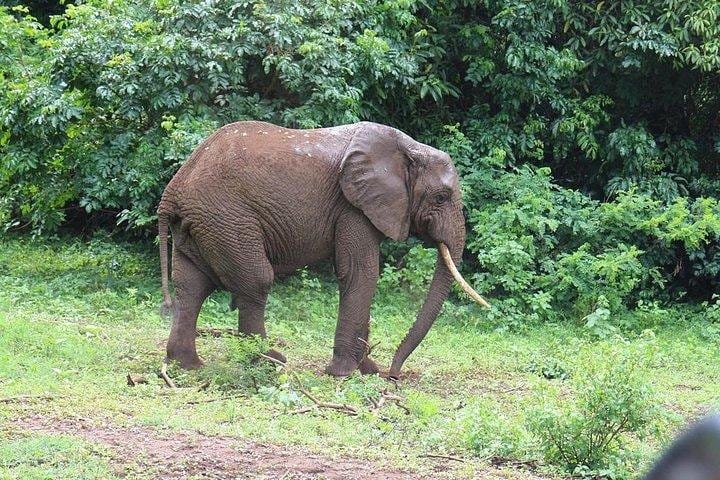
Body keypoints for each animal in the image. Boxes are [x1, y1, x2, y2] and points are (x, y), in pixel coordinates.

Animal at [157, 120, 489, 379]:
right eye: (441, 197)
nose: (393, 374)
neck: (409, 147)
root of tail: (174, 189)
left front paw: (367, 370)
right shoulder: (353, 206)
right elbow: (361, 272)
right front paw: (343, 373)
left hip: (199, 225)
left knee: (191, 287)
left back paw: (188, 366)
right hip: (227, 218)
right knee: (255, 282)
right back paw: (269, 363)